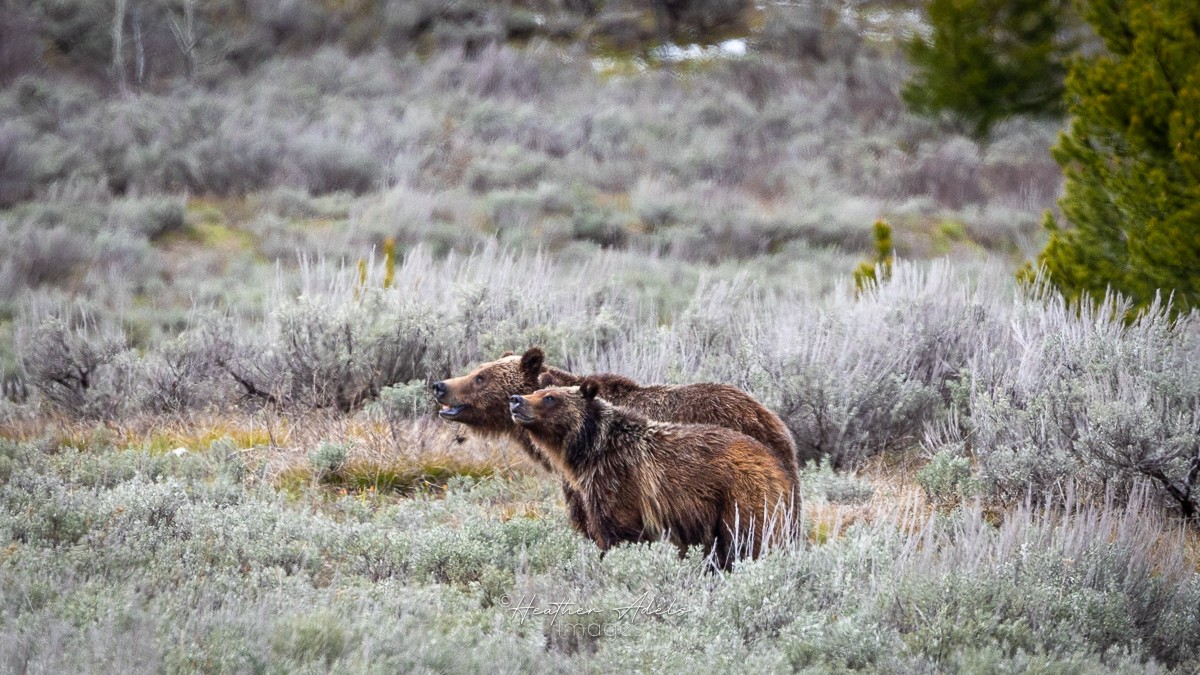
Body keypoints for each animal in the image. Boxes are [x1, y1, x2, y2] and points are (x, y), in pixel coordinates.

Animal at [509, 379, 797, 569]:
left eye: (550, 397)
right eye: (535, 390)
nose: (516, 400)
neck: (593, 451)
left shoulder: (619, 481)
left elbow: (618, 533)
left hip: (742, 498)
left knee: (749, 541)